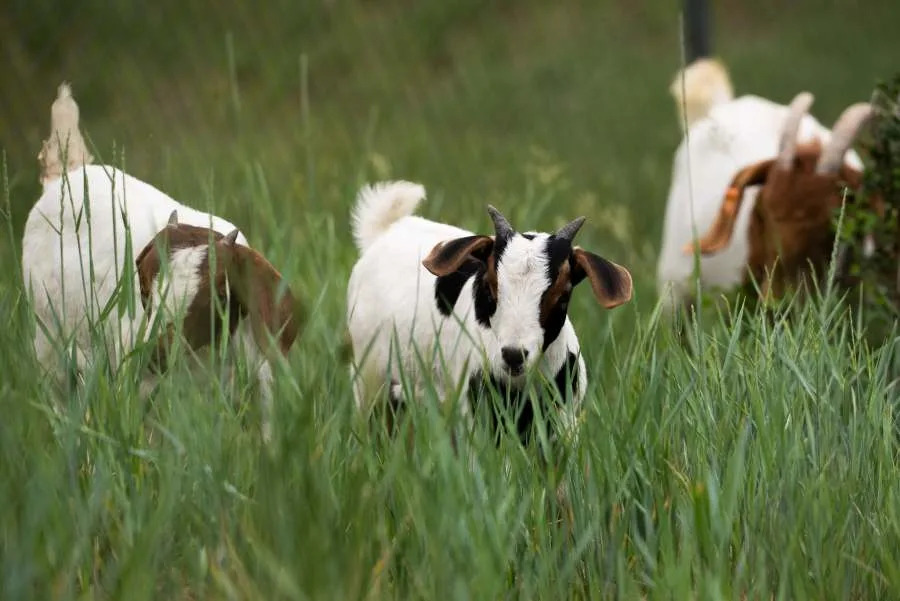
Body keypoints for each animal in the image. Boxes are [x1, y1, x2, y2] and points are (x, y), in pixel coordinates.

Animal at [22, 84, 300, 438]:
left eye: (217, 295)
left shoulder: (260, 384)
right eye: (143, 288)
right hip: (49, 348)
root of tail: (67, 177)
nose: (154, 352)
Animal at [345, 181, 633, 443]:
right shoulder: (476, 417)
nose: (513, 355)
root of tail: (385, 231)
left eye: (562, 293)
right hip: (369, 377)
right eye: (489, 287)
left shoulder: (563, 423)